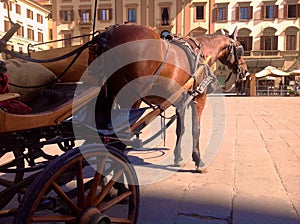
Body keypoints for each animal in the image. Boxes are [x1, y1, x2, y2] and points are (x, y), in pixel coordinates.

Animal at [94, 24, 248, 172]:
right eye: (240, 48)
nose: (245, 70)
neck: (201, 51)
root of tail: (110, 35)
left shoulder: (181, 102)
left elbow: (181, 129)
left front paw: (177, 157)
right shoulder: (199, 97)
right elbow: (195, 128)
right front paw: (198, 160)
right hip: (130, 98)